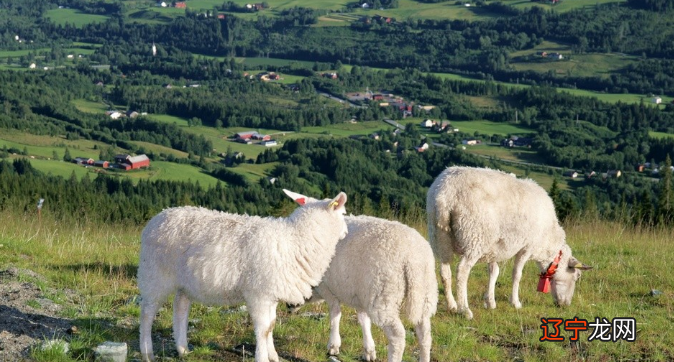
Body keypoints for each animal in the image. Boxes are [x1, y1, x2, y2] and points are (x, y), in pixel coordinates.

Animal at [136, 189, 346, 362]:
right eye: (343, 213)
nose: (346, 231)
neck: (297, 239)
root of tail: (158, 217)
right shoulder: (258, 294)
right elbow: (262, 329)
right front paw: (262, 357)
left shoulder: (270, 293)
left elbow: (271, 326)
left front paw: (273, 355)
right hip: (154, 274)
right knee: (147, 313)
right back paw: (147, 352)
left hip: (184, 282)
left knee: (180, 307)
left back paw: (183, 349)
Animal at [282, 189, 436, 362]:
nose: (287, 306)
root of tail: (413, 258)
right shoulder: (360, 293)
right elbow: (364, 320)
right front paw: (369, 350)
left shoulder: (329, 289)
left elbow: (335, 314)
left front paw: (333, 346)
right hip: (425, 294)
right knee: (424, 334)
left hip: (384, 296)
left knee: (397, 336)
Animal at [426, 167, 588, 320]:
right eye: (577, 276)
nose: (565, 305)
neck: (547, 243)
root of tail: (446, 194)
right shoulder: (527, 247)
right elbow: (517, 274)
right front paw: (515, 302)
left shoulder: (494, 248)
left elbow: (494, 272)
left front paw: (490, 302)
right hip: (475, 236)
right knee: (462, 271)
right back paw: (464, 310)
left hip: (440, 235)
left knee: (445, 272)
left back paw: (452, 305)